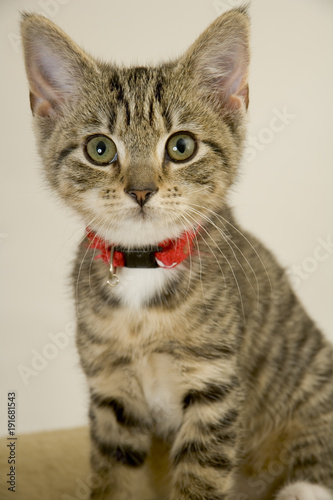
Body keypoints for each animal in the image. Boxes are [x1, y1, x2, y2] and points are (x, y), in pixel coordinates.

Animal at [21, 6, 332, 500]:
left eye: (181, 146)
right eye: (99, 149)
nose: (141, 190)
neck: (144, 266)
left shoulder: (215, 387)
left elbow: (200, 479)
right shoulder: (111, 394)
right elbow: (115, 479)